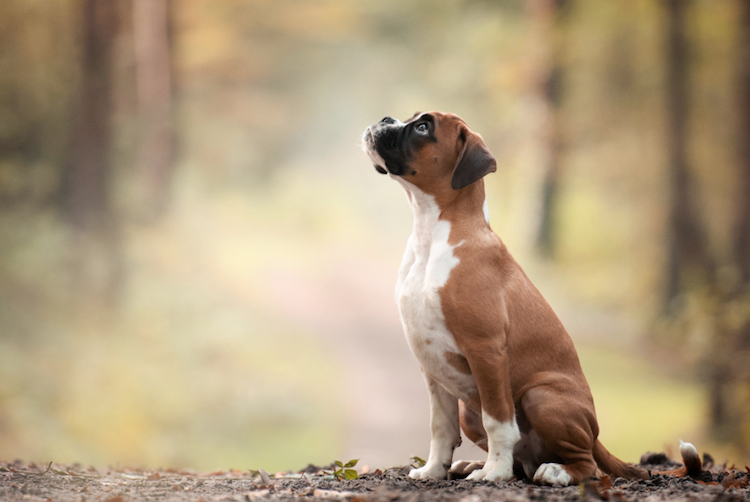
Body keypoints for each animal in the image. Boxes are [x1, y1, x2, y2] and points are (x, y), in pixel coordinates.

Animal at [362, 111, 704, 486]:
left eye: (423, 127)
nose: (384, 119)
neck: (432, 235)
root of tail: (595, 435)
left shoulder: (486, 351)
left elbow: (498, 421)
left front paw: (494, 473)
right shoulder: (432, 367)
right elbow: (441, 427)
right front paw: (434, 470)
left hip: (540, 395)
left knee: (586, 466)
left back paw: (552, 472)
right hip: (470, 409)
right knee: (520, 460)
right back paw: (475, 465)